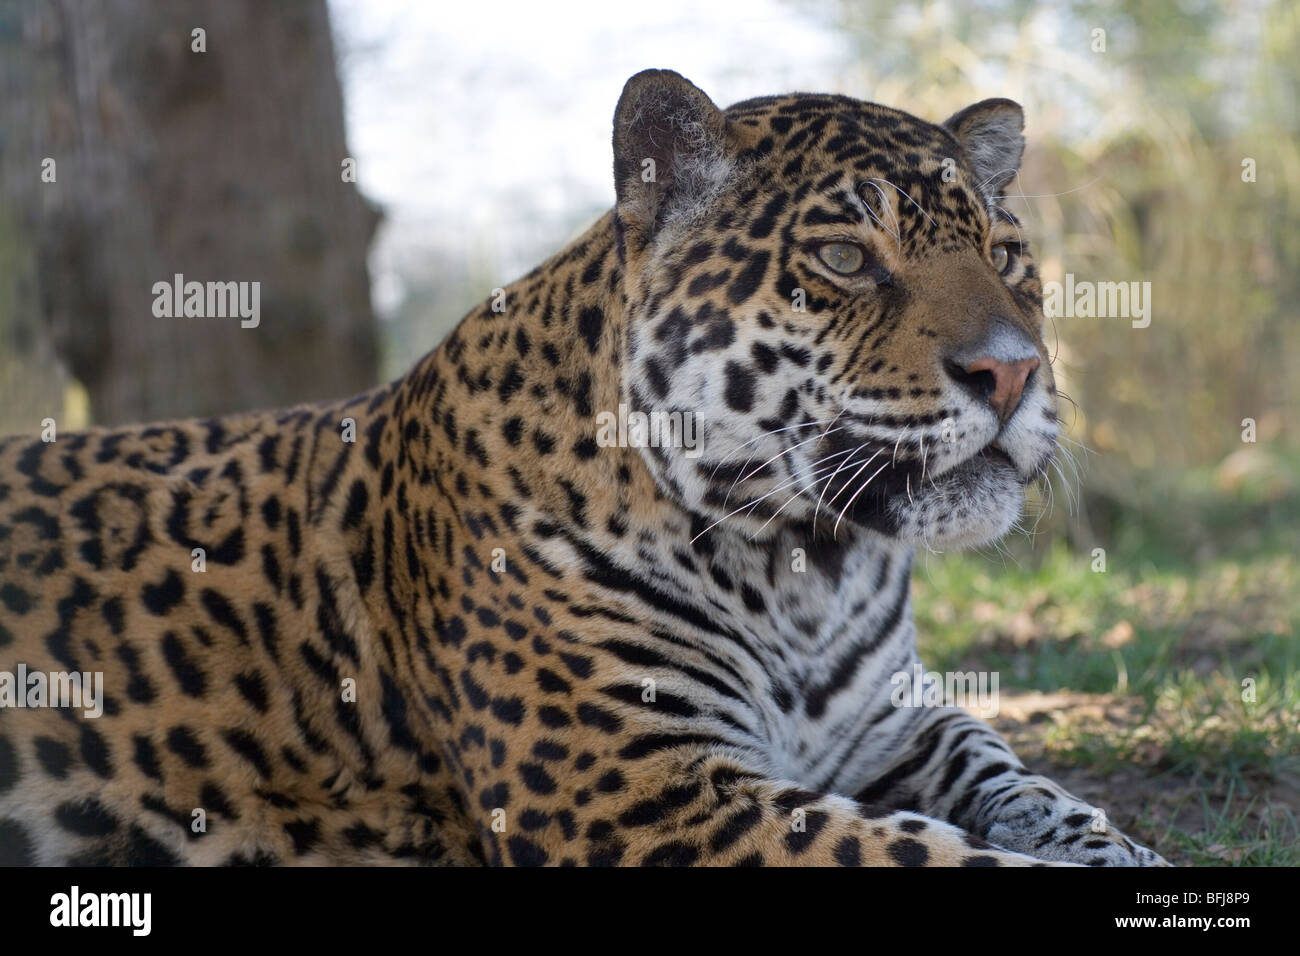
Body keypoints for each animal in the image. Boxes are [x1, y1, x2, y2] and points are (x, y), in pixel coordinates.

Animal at [0, 68, 1168, 866]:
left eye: (1008, 257)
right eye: (843, 258)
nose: (1011, 374)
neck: (807, 568)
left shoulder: (888, 720)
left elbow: (1020, 781)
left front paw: (1120, 850)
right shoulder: (651, 796)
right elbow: (932, 854)